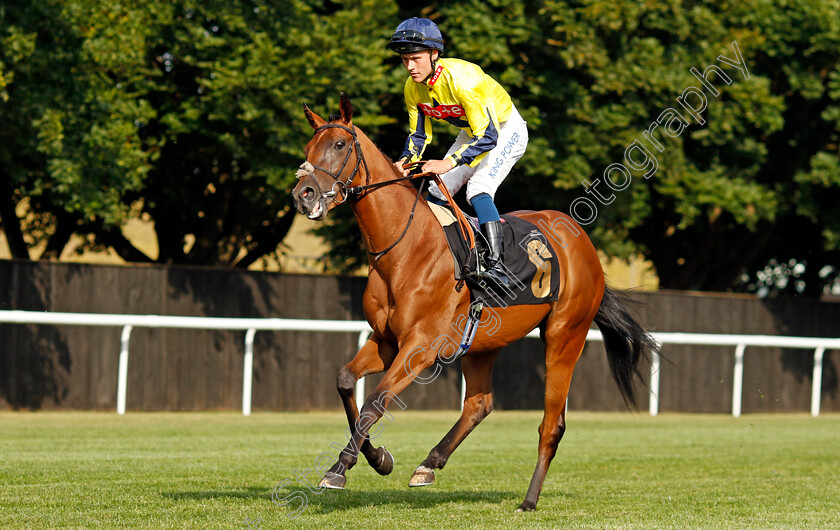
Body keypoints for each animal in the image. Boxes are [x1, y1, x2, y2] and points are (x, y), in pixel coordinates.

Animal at [292, 93, 660, 510]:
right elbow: (346, 382)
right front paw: (377, 457)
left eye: (339, 144)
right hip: (484, 343)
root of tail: (583, 244)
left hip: (565, 336)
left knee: (552, 424)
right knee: (479, 404)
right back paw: (429, 464)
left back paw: (528, 500)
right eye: (308, 148)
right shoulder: (386, 341)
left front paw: (340, 467)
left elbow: (376, 400)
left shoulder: (420, 348)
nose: (303, 194)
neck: (404, 249)